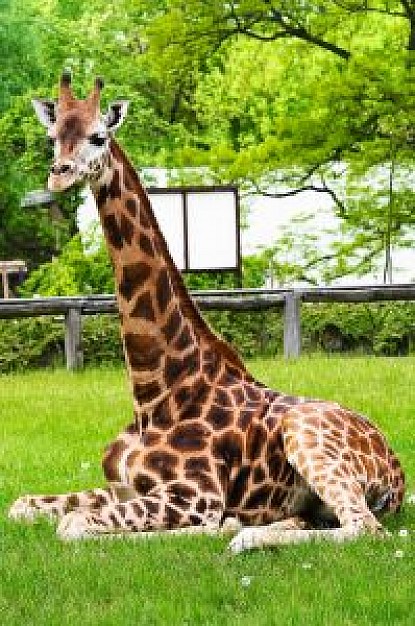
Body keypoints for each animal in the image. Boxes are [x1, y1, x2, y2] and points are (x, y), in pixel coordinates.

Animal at [9, 74, 406, 552]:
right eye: (52, 138)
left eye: (98, 136)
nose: (59, 174)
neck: (153, 392)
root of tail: (398, 471)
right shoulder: (120, 487)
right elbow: (22, 505)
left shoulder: (196, 494)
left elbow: (73, 525)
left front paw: (224, 526)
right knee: (328, 520)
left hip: (306, 434)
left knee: (366, 527)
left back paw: (245, 536)